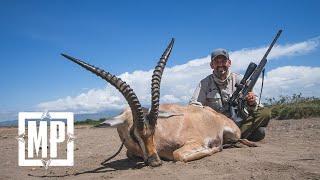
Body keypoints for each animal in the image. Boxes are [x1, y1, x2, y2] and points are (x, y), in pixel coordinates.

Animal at [61, 38, 256, 167]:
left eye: (154, 130)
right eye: (133, 134)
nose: (155, 161)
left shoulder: (195, 142)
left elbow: (178, 154)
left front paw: (215, 148)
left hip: (233, 132)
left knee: (238, 139)